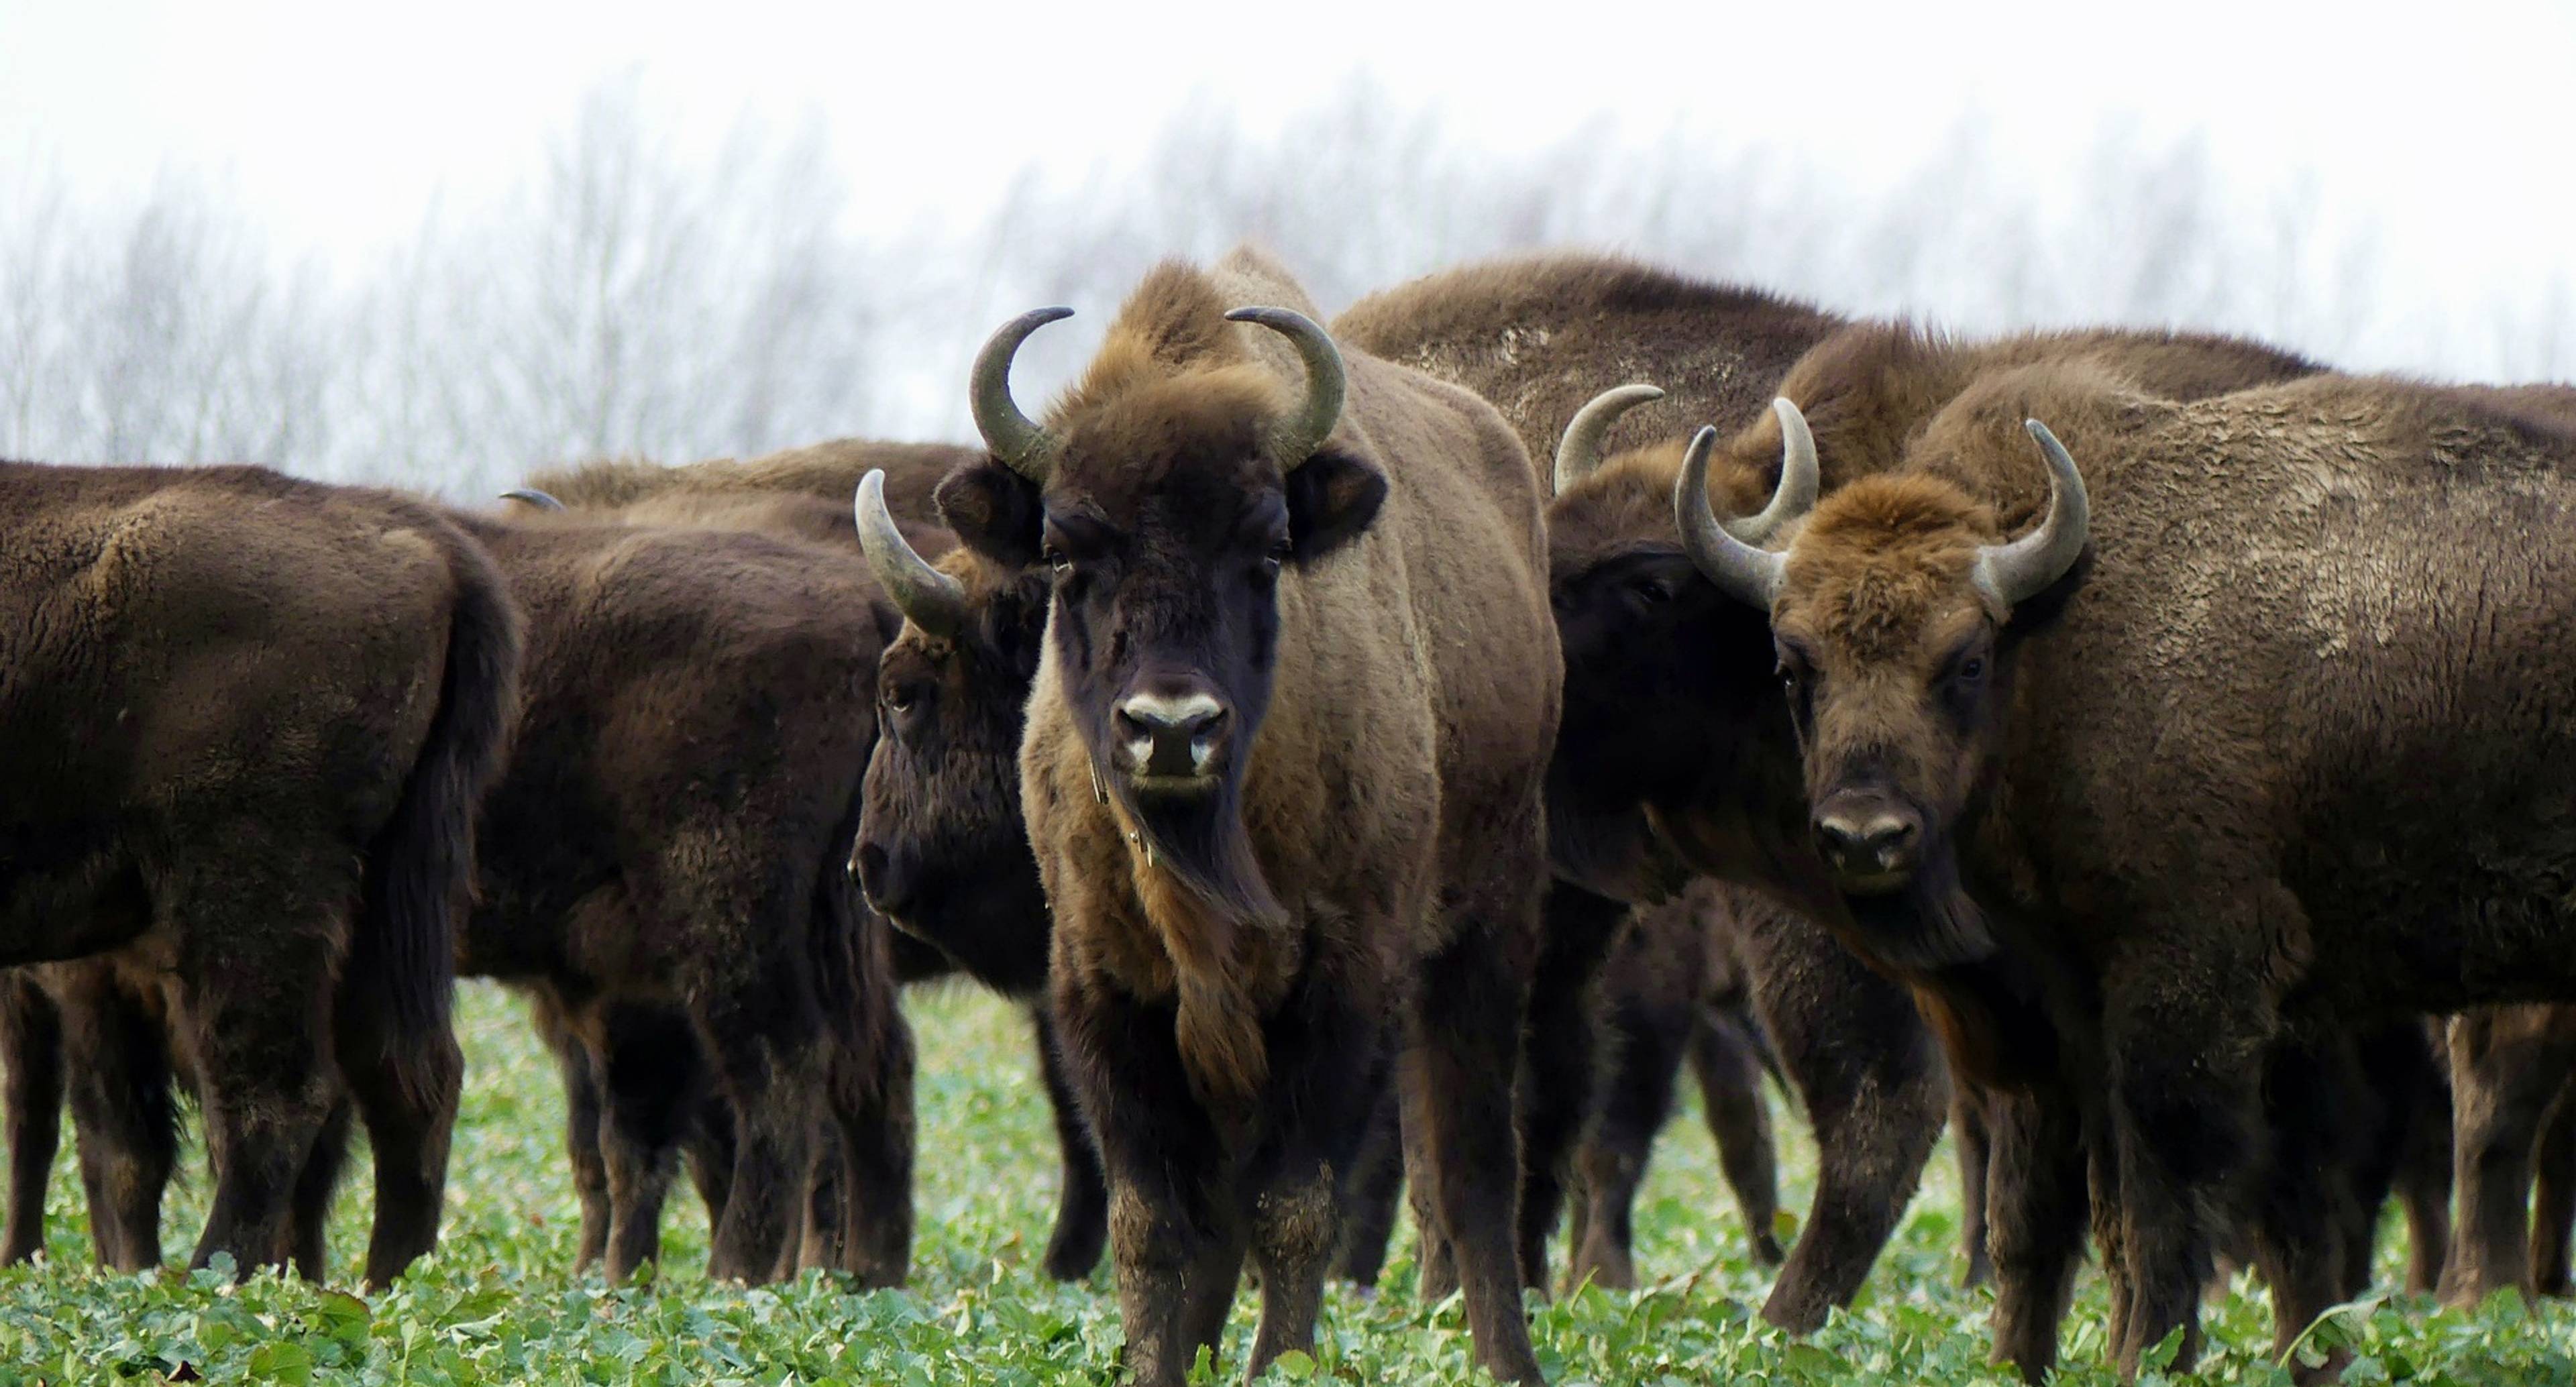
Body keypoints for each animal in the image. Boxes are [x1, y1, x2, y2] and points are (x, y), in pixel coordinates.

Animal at [0, 460, 517, 1286]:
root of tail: (430, 544)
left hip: (249, 890)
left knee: (273, 1097)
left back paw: (207, 1282)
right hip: (385, 897)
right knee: (410, 1079)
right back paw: (389, 1286)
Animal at [1679, 360, 2576, 1379]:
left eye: (1966, 660)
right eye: (1794, 666)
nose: (1865, 836)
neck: (2061, 636)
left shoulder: (2184, 986)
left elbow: (2164, 1204)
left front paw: (2146, 1356)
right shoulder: (2076, 1013)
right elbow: (2089, 1214)